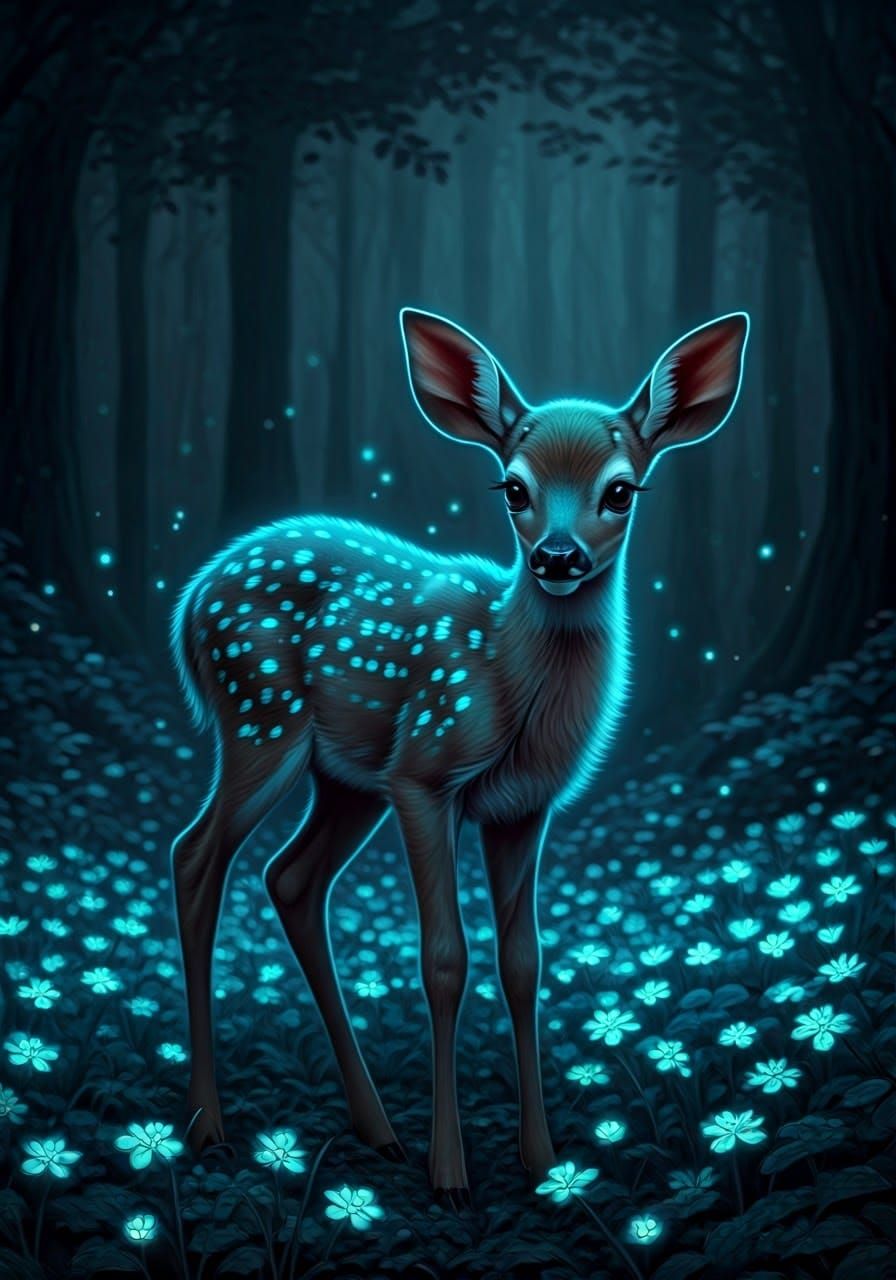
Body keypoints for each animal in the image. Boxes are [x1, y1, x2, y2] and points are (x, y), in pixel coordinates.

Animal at [170, 307, 749, 1208]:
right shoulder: (424, 777)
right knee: (196, 857)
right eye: (512, 487)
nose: (557, 557)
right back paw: (208, 1123)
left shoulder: (524, 809)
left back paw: (376, 1127)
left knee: (291, 879)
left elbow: (523, 964)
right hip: (261, 718)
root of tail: (192, 598)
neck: (511, 685)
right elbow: (445, 961)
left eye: (621, 490)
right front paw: (451, 1173)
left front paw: (543, 1160)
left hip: (344, 778)